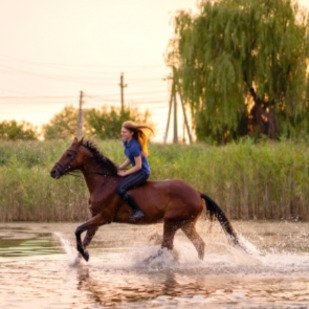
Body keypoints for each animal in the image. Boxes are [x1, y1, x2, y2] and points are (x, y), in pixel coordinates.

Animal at [50, 137, 242, 260]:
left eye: (69, 153)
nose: (53, 172)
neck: (103, 182)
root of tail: (197, 192)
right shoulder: (95, 218)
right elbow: (85, 238)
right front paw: (80, 258)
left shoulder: (104, 217)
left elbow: (77, 230)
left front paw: (84, 255)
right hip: (186, 224)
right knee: (198, 244)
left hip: (171, 221)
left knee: (168, 246)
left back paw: (147, 261)